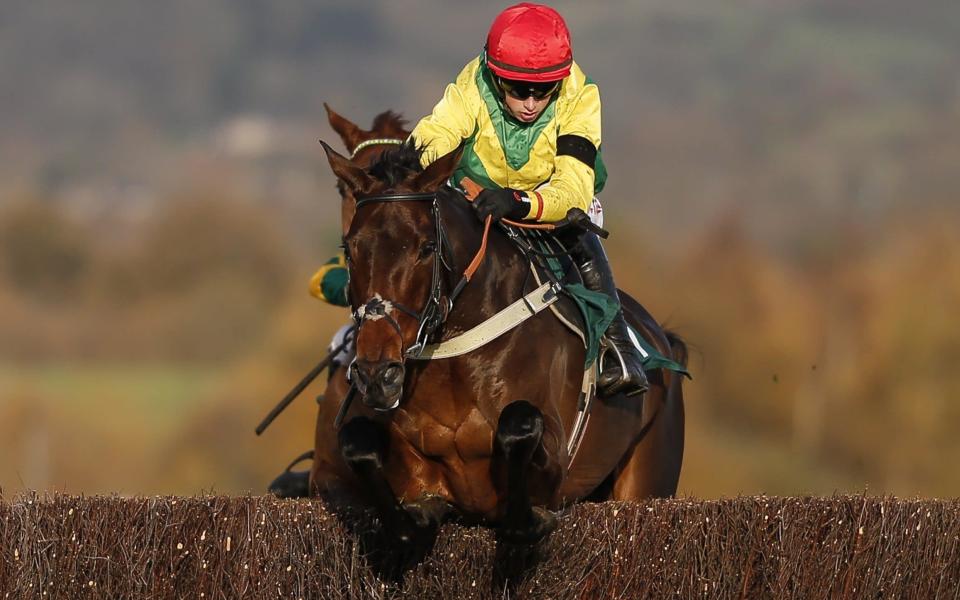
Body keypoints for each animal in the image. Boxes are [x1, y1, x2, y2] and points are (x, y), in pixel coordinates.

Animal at [312, 135, 688, 572]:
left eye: (426, 247)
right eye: (350, 249)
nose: (377, 373)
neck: (457, 349)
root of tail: (661, 336)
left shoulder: (555, 457)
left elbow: (519, 425)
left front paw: (526, 528)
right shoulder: (413, 478)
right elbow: (358, 444)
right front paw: (404, 532)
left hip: (646, 478)